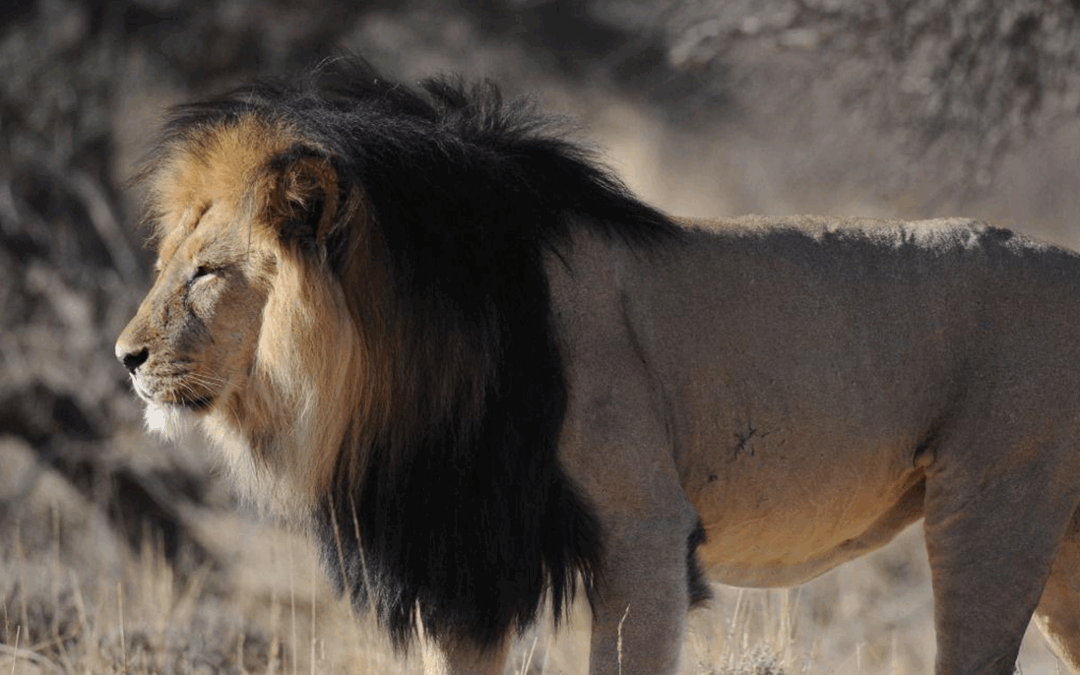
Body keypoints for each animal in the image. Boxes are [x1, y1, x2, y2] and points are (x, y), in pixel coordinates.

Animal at [116, 59, 1080, 675]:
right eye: (170, 262)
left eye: (207, 273)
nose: (125, 357)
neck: (402, 364)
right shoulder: (463, 552)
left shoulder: (642, 526)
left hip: (991, 508)